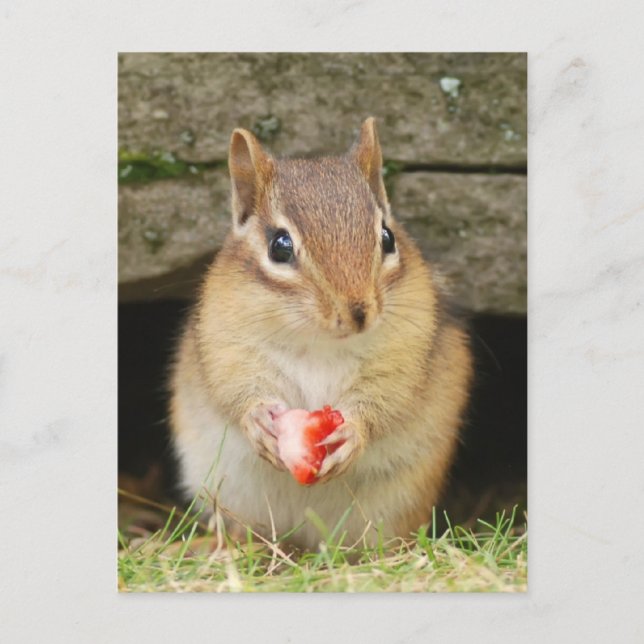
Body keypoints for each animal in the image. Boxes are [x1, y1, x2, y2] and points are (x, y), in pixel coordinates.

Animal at [169, 118, 473, 550]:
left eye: (387, 237)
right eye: (279, 246)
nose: (359, 313)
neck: (319, 345)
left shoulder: (406, 351)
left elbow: (387, 398)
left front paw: (352, 433)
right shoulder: (226, 344)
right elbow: (235, 387)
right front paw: (258, 419)